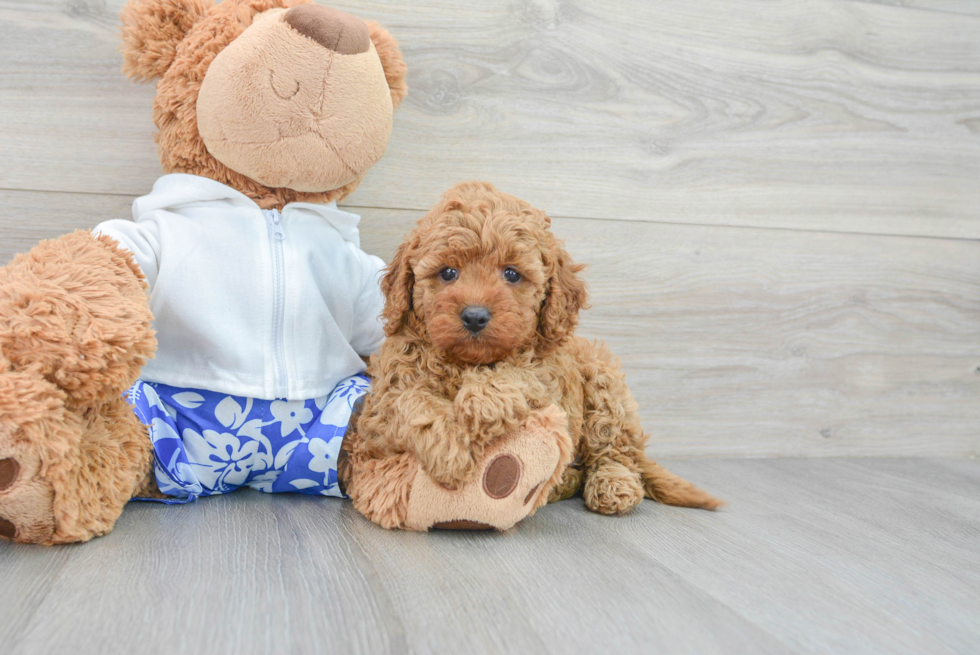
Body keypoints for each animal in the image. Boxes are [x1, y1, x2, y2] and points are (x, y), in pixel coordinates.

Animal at [348, 182, 716, 520]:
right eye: (448, 272)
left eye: (512, 274)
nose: (475, 316)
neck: (467, 361)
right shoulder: (382, 401)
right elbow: (411, 402)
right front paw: (450, 452)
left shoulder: (550, 376)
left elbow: (519, 375)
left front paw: (480, 403)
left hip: (604, 380)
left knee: (614, 450)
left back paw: (613, 484)